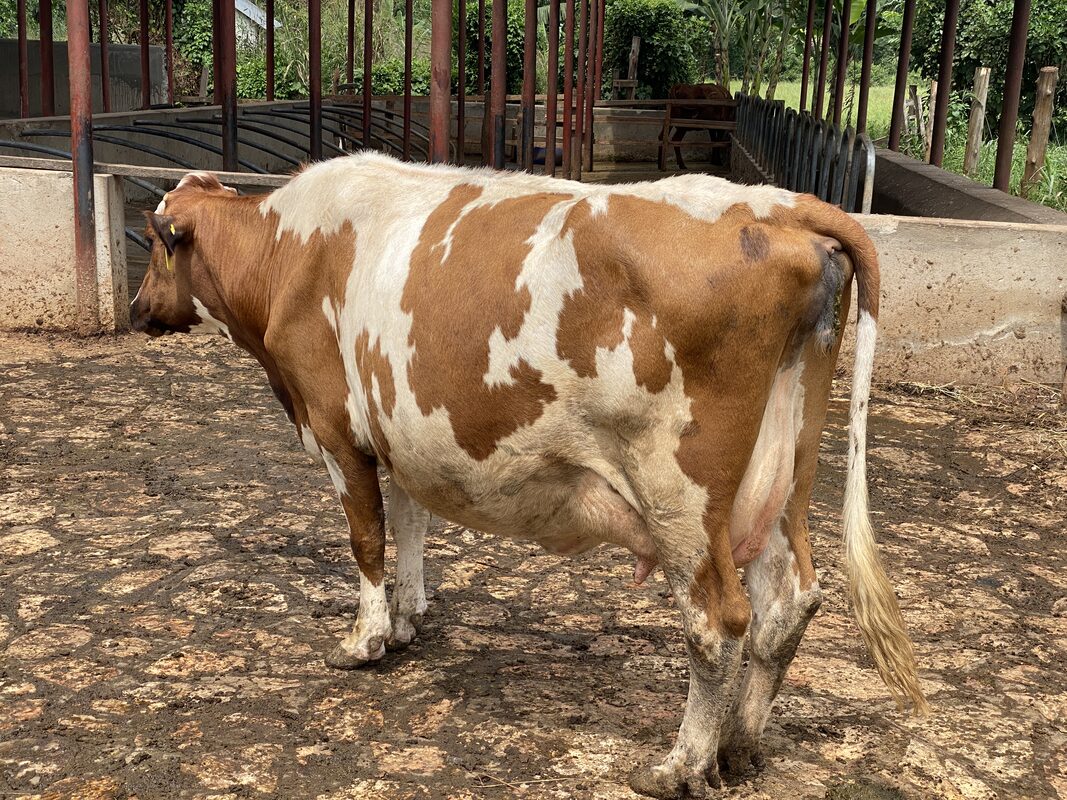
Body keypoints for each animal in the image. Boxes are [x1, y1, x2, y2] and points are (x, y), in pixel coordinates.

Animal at [130, 153, 927, 798]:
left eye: (152, 245)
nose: (135, 310)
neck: (286, 248)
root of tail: (777, 204)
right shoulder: (400, 430)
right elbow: (411, 521)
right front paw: (411, 615)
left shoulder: (335, 426)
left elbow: (365, 538)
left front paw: (366, 639)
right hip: (783, 474)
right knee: (788, 601)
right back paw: (739, 747)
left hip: (680, 487)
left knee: (717, 619)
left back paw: (679, 765)